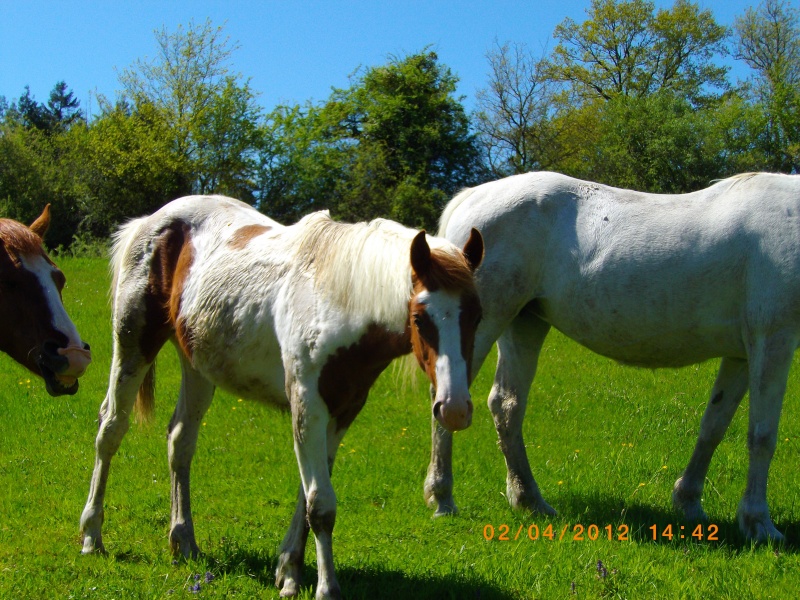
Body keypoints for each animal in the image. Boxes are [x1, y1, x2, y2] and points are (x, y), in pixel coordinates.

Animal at [79, 195, 482, 596]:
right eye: (419, 318)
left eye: (477, 317)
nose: (454, 409)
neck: (339, 299)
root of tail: (150, 221)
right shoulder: (307, 406)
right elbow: (320, 504)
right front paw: (325, 587)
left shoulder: (342, 411)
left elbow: (309, 498)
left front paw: (289, 571)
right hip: (134, 345)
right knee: (111, 430)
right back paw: (92, 535)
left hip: (195, 364)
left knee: (180, 441)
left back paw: (184, 541)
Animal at [432, 170, 800, 544]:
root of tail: (471, 197)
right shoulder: (774, 340)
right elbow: (762, 436)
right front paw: (760, 523)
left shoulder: (741, 355)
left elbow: (714, 426)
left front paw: (689, 503)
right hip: (485, 323)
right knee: (449, 400)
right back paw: (442, 498)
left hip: (523, 323)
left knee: (506, 405)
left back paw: (529, 500)